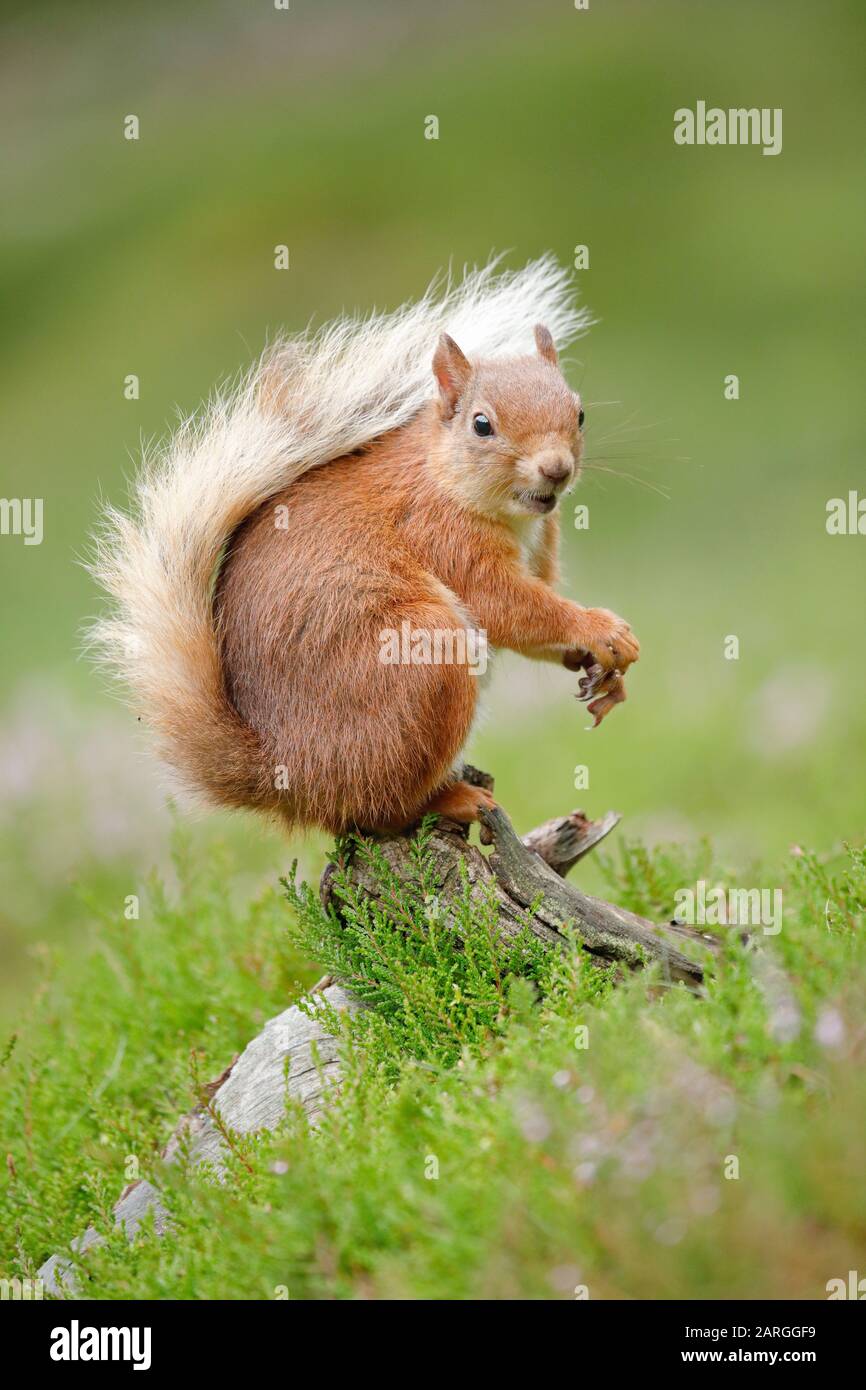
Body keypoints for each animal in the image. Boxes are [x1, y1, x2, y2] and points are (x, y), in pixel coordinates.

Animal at [88, 261, 636, 834]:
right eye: (481, 424)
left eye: (579, 413)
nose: (556, 469)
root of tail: (290, 777)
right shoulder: (442, 535)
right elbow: (510, 606)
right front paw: (598, 627)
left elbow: (536, 618)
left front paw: (605, 671)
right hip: (423, 655)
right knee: (379, 809)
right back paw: (450, 800)